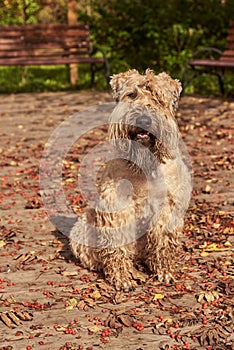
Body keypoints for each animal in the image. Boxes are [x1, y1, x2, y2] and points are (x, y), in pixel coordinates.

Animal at [69, 68, 192, 290]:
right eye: (132, 94)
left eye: (158, 97)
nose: (143, 120)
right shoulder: (117, 204)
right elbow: (117, 245)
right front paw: (122, 278)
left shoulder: (168, 206)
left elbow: (163, 242)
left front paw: (164, 271)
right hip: (82, 227)